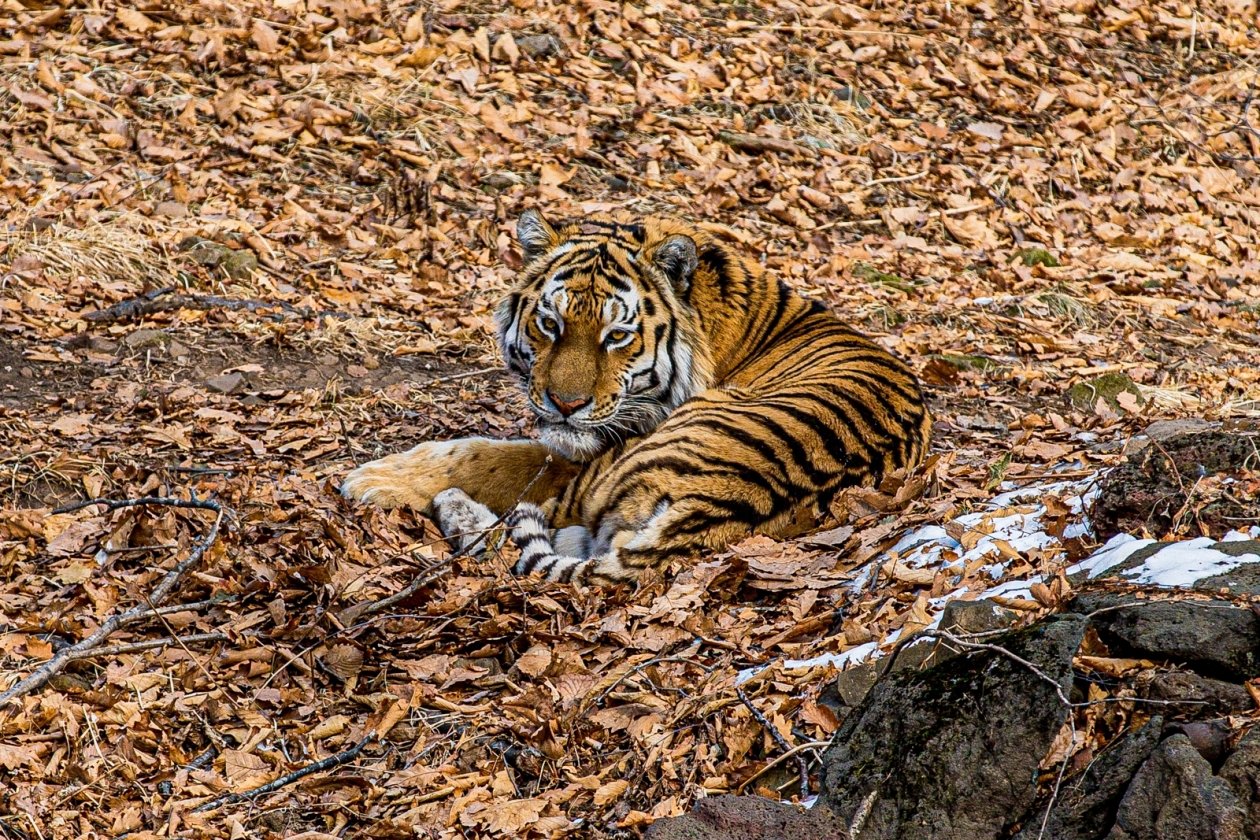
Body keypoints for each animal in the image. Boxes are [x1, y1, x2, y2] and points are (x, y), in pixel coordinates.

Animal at [340, 210, 932, 584]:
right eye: (550, 324)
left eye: (617, 336)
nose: (565, 404)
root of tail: (706, 512)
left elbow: (484, 454)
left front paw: (373, 478)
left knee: (508, 531)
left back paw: (449, 505)